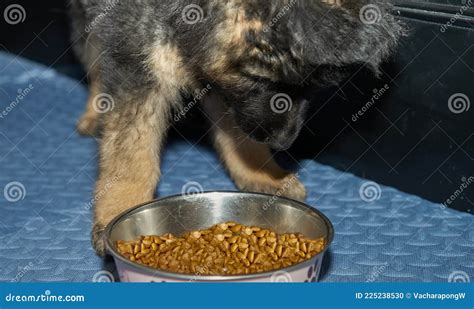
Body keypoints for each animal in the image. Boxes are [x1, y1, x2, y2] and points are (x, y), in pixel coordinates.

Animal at [69, 0, 404, 255]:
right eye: (265, 81)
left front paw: (262, 174)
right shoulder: (137, 63)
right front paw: (119, 211)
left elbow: (239, 135)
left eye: (310, 89)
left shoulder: (226, 89)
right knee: (90, 50)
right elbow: (130, 156)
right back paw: (95, 112)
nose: (283, 143)